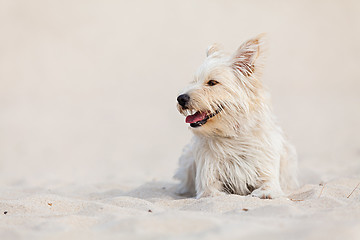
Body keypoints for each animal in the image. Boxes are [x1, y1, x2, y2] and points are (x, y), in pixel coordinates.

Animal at [174, 34, 298, 199]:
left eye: (212, 82)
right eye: (194, 81)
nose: (181, 98)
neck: (233, 136)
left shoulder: (269, 176)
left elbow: (267, 189)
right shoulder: (208, 183)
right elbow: (212, 193)